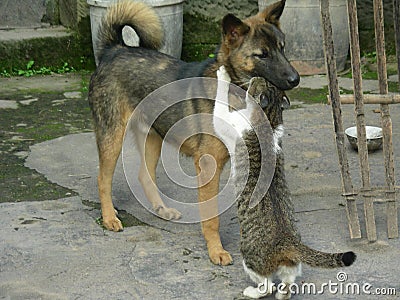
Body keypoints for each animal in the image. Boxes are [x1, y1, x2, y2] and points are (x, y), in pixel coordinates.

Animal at [88, 0, 300, 266]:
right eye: (262, 54)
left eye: (283, 48)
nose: (295, 79)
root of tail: (114, 49)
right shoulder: (209, 167)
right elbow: (211, 218)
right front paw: (216, 250)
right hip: (113, 137)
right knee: (103, 180)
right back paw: (109, 218)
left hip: (153, 137)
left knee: (144, 175)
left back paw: (162, 209)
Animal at [214, 67, 354, 298]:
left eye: (259, 81)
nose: (255, 76)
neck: (269, 119)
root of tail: (289, 241)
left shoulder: (227, 121)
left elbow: (219, 101)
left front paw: (223, 74)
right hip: (291, 265)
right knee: (287, 282)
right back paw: (282, 294)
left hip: (249, 257)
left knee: (267, 285)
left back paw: (253, 292)